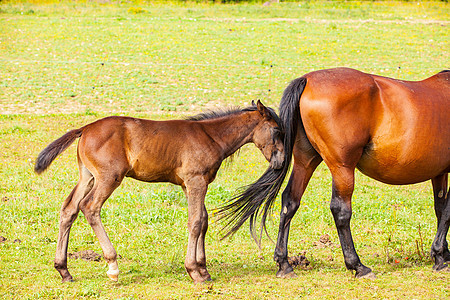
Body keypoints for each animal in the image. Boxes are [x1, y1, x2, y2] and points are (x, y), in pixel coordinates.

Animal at [34, 101, 284, 284]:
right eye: (276, 130)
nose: (280, 163)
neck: (211, 136)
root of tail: (84, 129)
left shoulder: (190, 184)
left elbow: (203, 220)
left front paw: (204, 269)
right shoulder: (196, 181)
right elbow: (195, 222)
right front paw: (194, 271)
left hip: (88, 176)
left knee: (69, 209)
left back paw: (64, 270)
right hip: (109, 177)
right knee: (90, 207)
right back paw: (113, 266)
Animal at [219, 68, 450, 278]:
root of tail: (307, 79)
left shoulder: (440, 173)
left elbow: (440, 208)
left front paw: (444, 252)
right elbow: (447, 211)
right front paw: (439, 255)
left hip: (306, 161)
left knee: (290, 201)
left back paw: (284, 263)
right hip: (342, 169)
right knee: (340, 210)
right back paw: (358, 266)